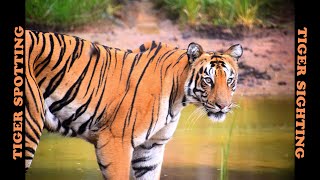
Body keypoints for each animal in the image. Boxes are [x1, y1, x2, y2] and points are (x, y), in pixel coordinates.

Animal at [25, 29, 244, 179]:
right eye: (208, 80)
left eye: (229, 80)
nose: (223, 106)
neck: (178, 98)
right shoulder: (114, 142)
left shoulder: (151, 149)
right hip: (30, 126)